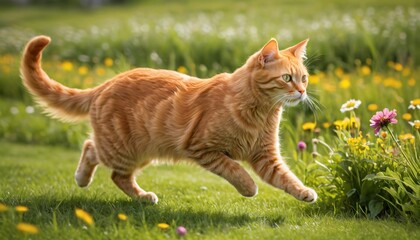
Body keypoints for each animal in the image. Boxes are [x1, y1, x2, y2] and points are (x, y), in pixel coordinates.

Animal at [21, 36, 316, 204]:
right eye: (287, 78)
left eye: (304, 78)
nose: (302, 92)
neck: (261, 112)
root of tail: (107, 83)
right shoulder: (203, 149)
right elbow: (236, 170)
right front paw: (249, 188)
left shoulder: (265, 157)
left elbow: (286, 178)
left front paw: (304, 192)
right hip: (122, 148)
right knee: (92, 150)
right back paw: (82, 179)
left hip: (139, 152)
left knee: (115, 173)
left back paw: (141, 197)